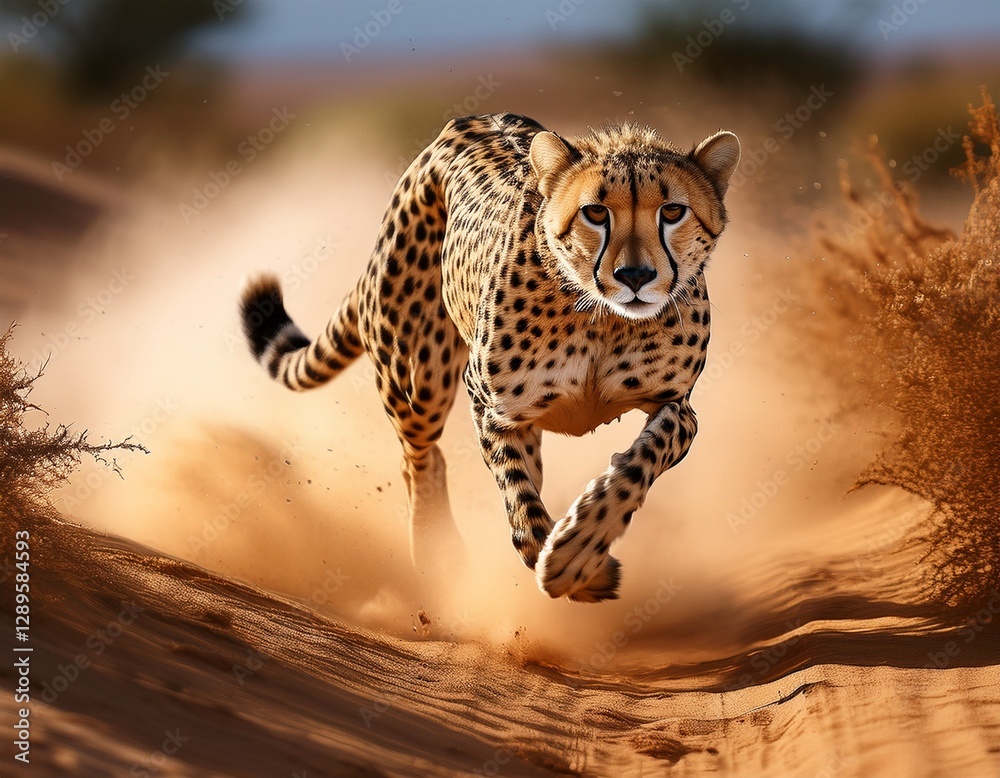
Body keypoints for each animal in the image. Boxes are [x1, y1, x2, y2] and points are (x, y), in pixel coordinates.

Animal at [239, 112, 740, 602]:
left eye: (672, 211)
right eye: (596, 213)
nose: (635, 276)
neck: (604, 318)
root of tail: (468, 121)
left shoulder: (678, 406)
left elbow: (641, 461)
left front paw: (577, 549)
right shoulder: (493, 407)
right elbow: (518, 495)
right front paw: (565, 561)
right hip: (420, 377)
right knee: (419, 460)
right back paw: (436, 555)